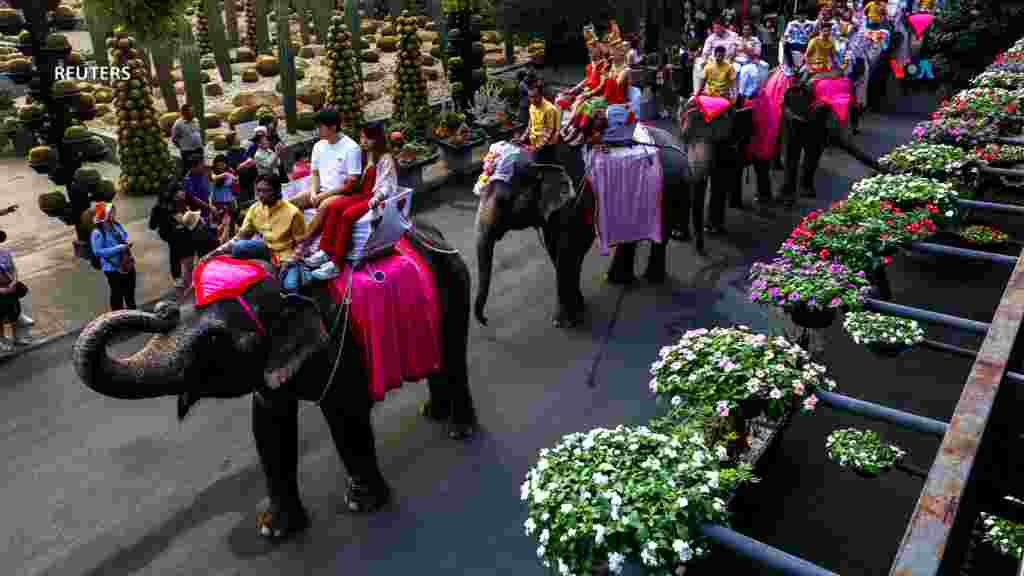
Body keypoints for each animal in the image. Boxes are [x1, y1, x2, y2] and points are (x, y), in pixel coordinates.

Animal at [72, 220, 479, 537]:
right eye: (181, 312)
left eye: (215, 340)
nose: (163, 308)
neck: (283, 284)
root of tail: (430, 231)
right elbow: (268, 425)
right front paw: (274, 529)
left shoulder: (338, 339)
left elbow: (344, 413)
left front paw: (363, 505)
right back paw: (433, 413)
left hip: (454, 283)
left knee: (453, 355)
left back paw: (459, 430)